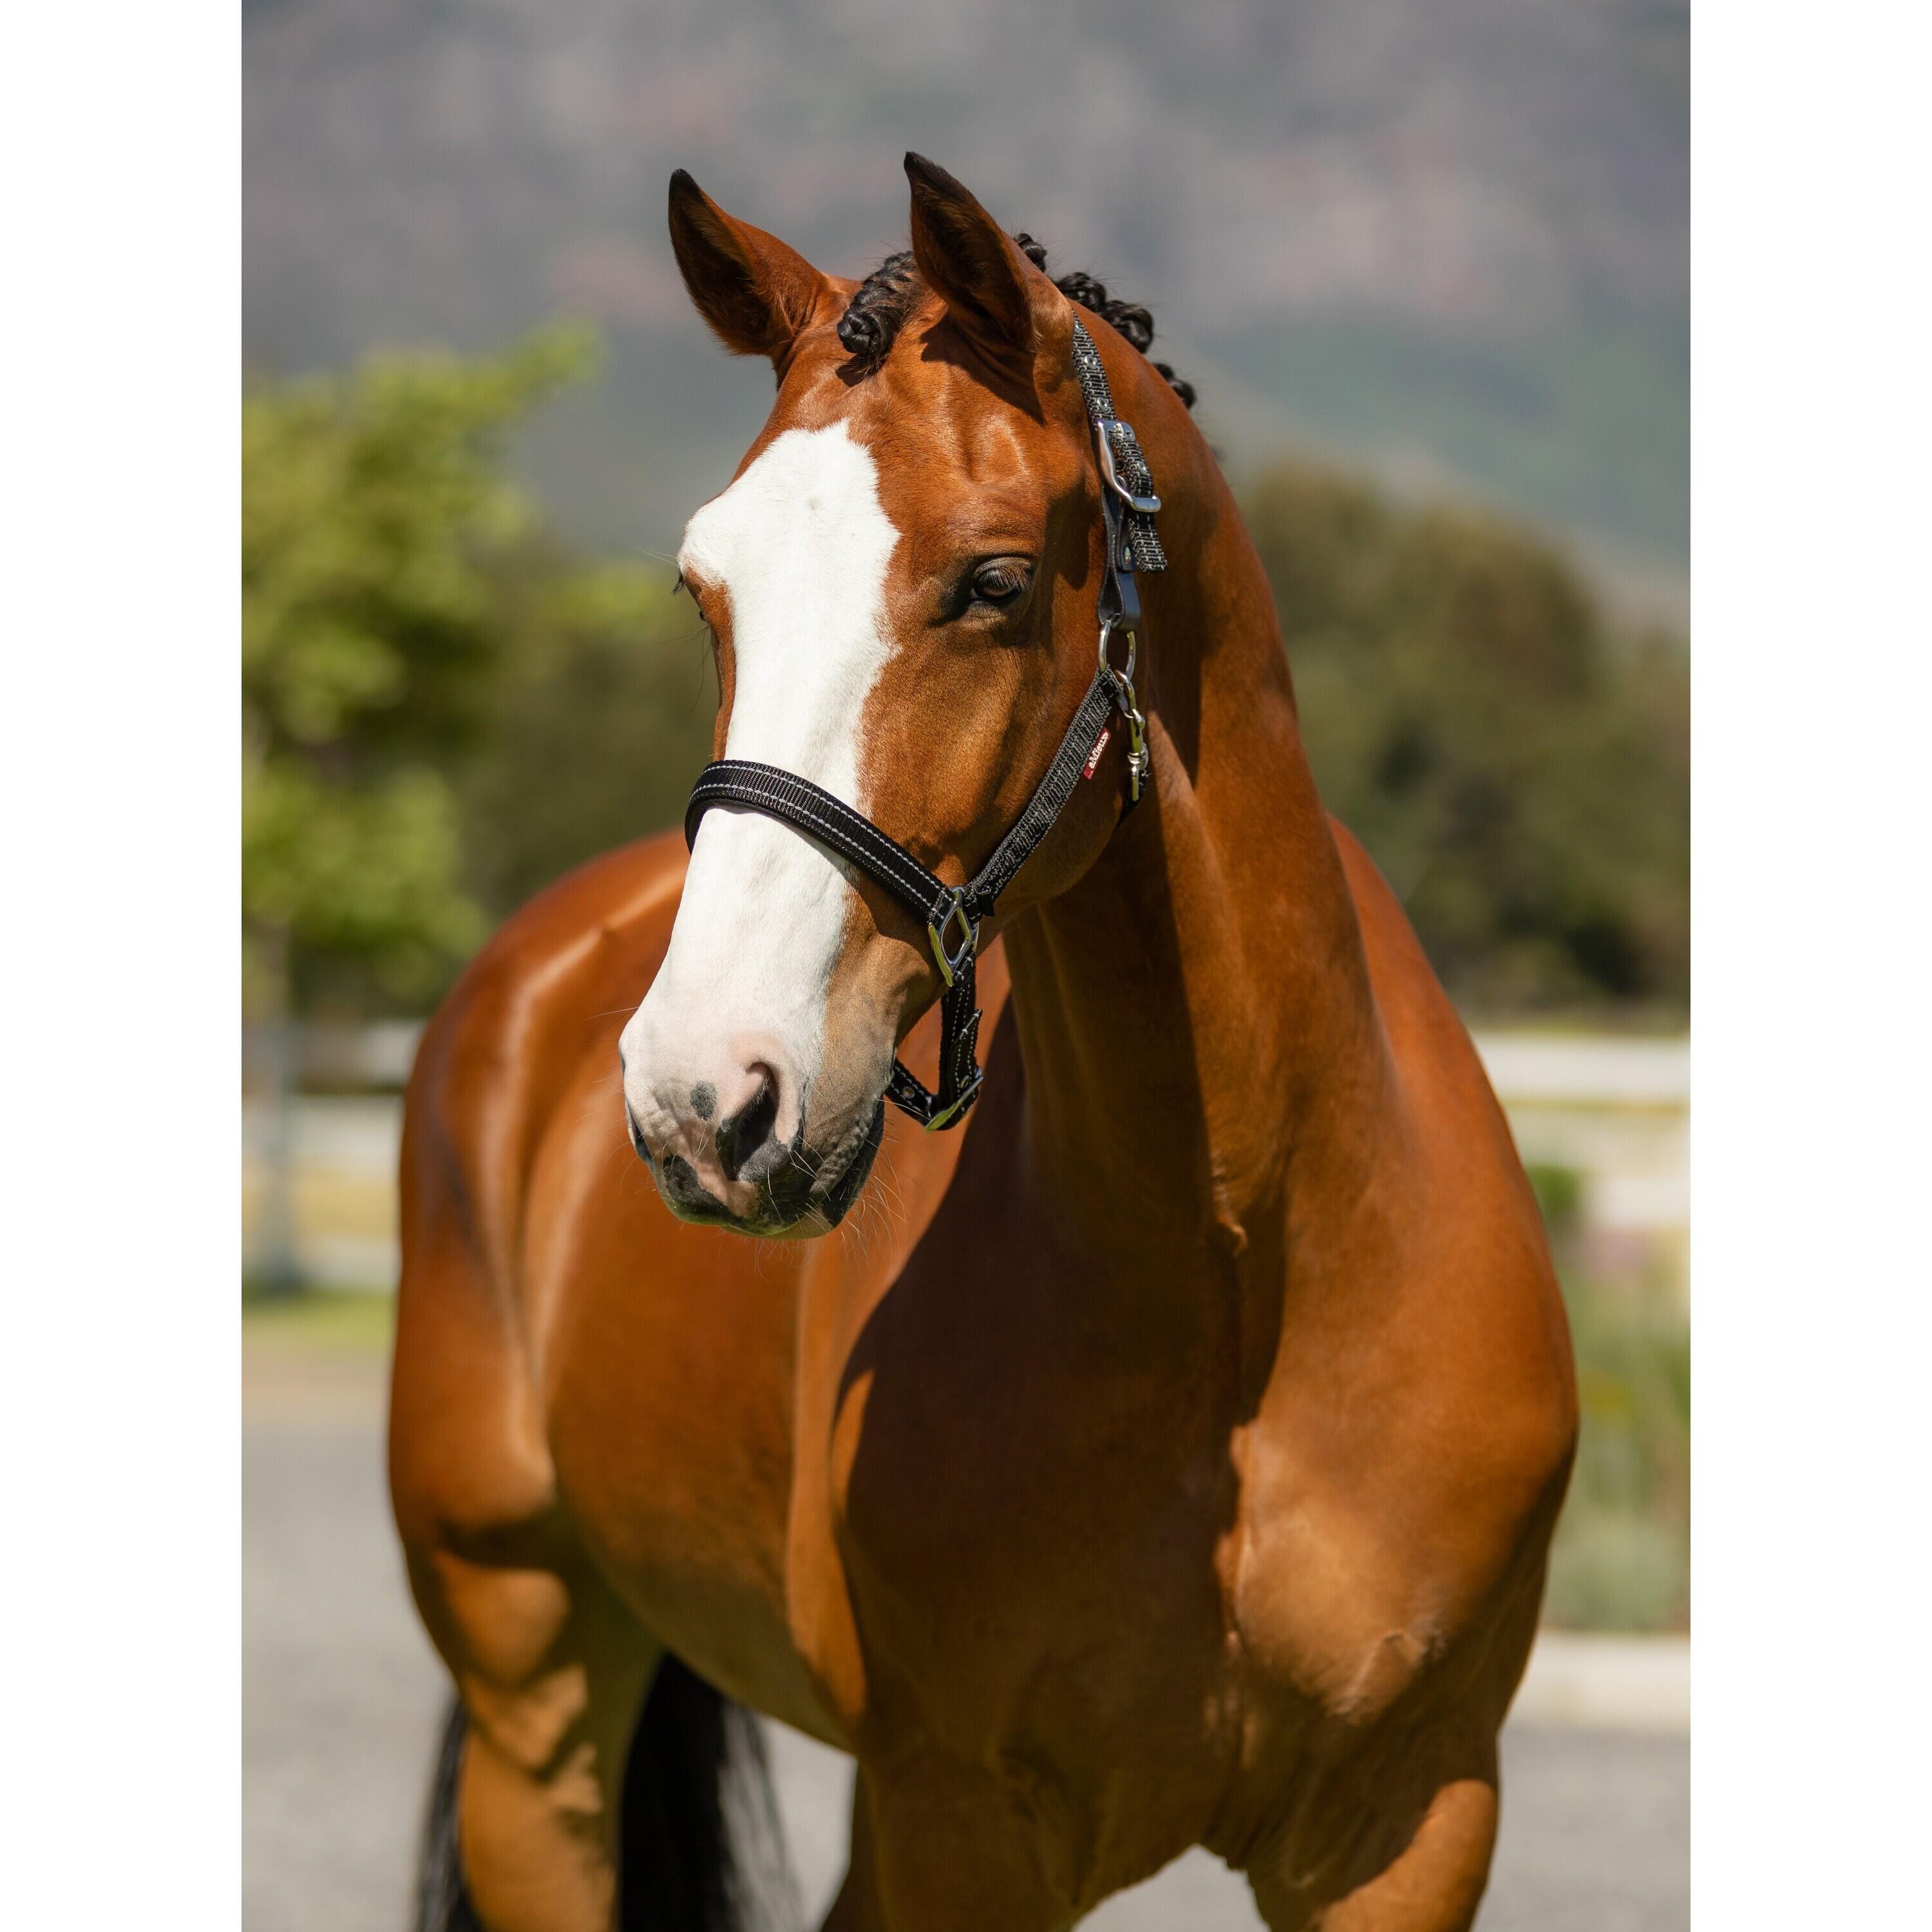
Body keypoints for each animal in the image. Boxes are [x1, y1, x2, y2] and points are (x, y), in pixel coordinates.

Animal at [388, 153, 1577, 1932]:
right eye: (705, 589)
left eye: (997, 581)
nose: (700, 1099)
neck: (1253, 1275)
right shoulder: (963, 1820)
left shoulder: (1410, 1823)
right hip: (536, 1701)